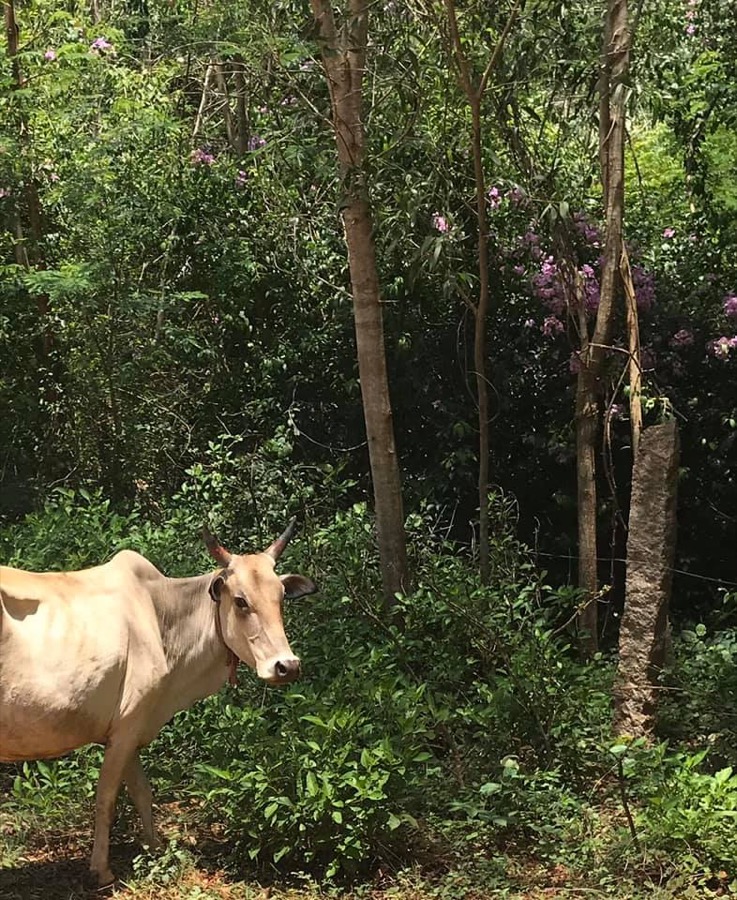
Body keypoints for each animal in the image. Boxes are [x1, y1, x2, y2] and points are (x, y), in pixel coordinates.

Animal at [0, 519, 316, 886]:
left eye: (280, 598)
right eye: (240, 601)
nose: (287, 666)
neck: (161, 615)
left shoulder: (130, 728)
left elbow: (142, 792)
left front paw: (154, 849)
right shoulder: (127, 725)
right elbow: (107, 799)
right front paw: (102, 870)